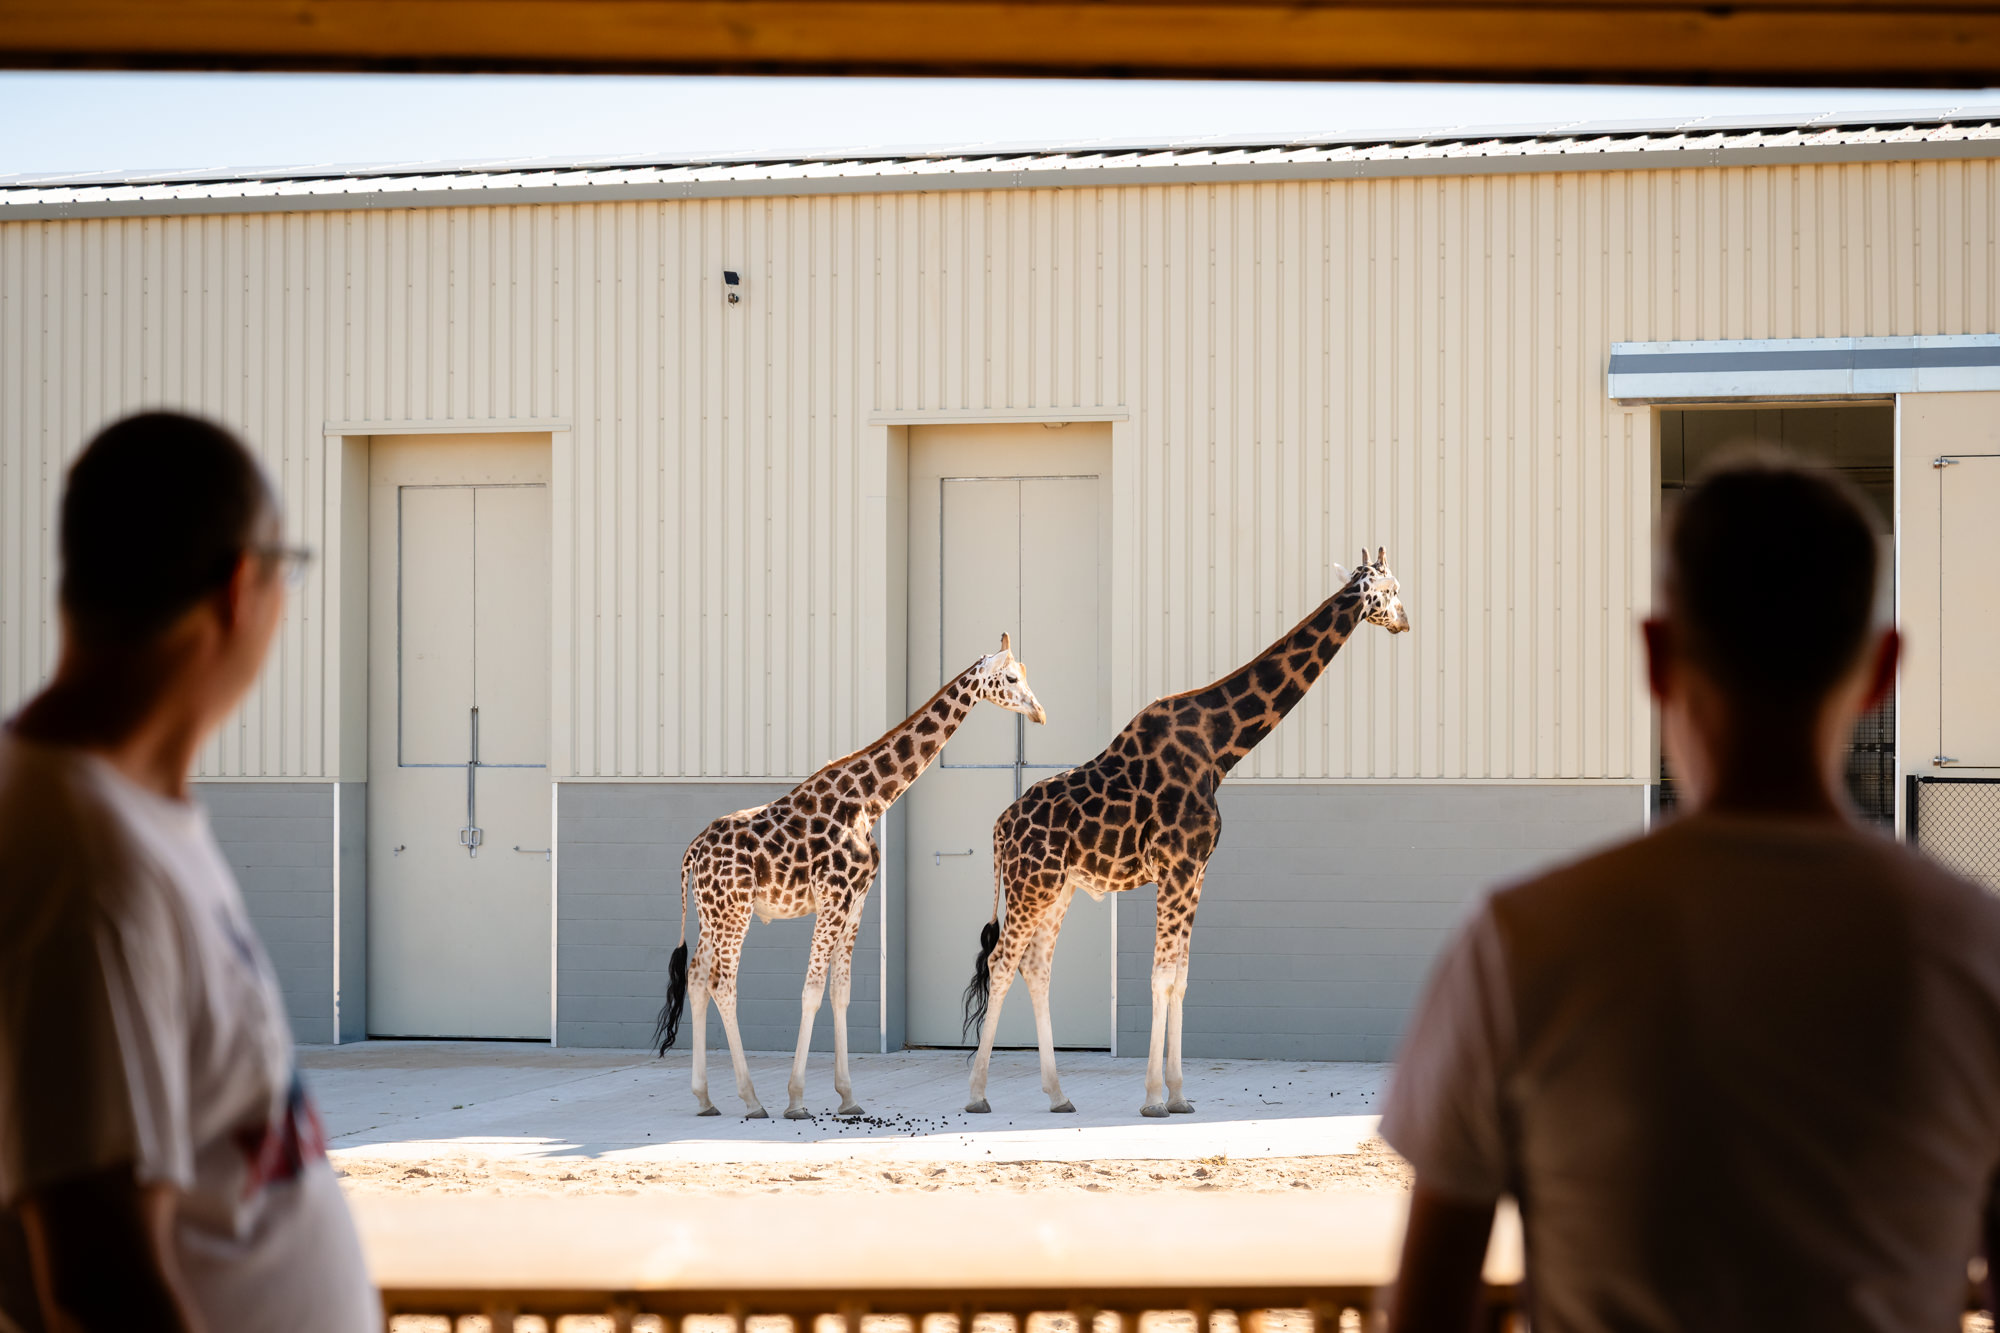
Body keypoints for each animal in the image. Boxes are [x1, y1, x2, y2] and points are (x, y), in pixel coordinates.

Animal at [655, 635, 1047, 1120]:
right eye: (1011, 677)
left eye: (1026, 673)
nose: (1039, 712)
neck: (868, 800)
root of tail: (692, 852)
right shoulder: (833, 896)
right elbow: (811, 990)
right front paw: (796, 1100)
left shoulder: (857, 899)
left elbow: (839, 992)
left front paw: (847, 1097)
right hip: (735, 911)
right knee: (722, 984)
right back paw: (752, 1099)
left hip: (711, 914)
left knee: (695, 978)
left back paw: (706, 1098)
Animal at [960, 550, 1411, 1118]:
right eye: (1392, 588)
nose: (1405, 621)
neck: (1220, 749)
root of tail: (1000, 828)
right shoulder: (1175, 868)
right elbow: (1160, 976)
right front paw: (1154, 1098)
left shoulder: (1196, 873)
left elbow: (1180, 977)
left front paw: (1178, 1094)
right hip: (1028, 886)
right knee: (1001, 963)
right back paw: (977, 1095)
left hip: (1057, 889)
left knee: (1036, 967)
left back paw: (1059, 1095)